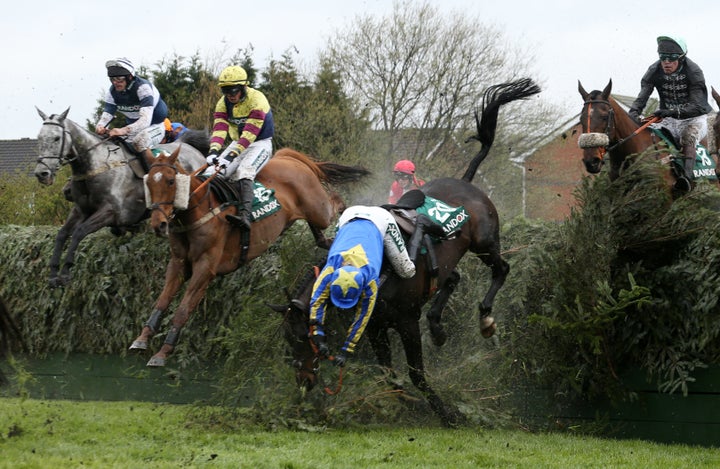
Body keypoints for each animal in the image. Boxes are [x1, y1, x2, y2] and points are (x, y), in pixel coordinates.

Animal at [34, 108, 208, 288]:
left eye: (56, 138)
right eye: (39, 138)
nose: (42, 173)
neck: (96, 167)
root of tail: (190, 147)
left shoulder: (110, 211)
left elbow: (78, 232)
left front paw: (66, 271)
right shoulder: (80, 210)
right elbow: (62, 234)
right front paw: (53, 274)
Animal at [133, 146, 372, 366]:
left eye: (170, 181)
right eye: (148, 183)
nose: (158, 225)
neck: (197, 211)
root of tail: (289, 156)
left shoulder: (205, 268)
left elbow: (183, 309)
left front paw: (162, 352)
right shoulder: (178, 263)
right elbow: (162, 300)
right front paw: (142, 338)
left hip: (319, 210)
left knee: (336, 201)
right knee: (322, 238)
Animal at [270, 77, 540, 424]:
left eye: (300, 337)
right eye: (288, 339)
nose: (303, 380)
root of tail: (467, 180)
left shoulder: (407, 322)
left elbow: (415, 374)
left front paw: (445, 412)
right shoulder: (375, 327)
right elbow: (389, 373)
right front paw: (404, 403)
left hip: (484, 243)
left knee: (501, 269)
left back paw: (485, 320)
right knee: (452, 279)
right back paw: (437, 326)